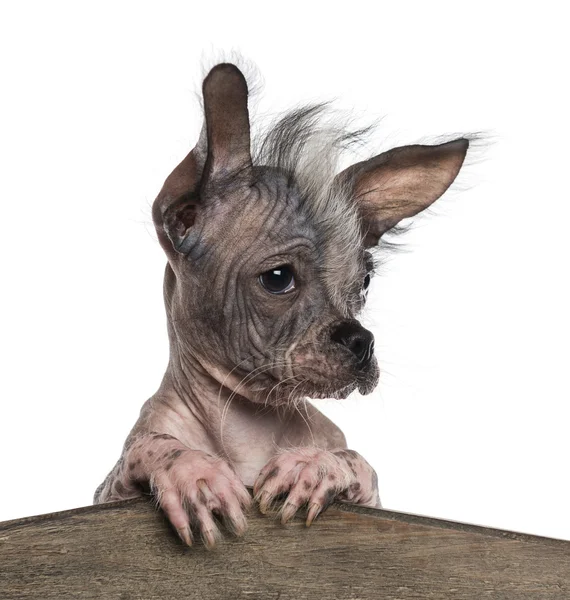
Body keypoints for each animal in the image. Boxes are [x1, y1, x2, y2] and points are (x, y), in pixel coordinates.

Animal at [92, 62, 466, 548]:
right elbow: (151, 446)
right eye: (278, 278)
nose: (361, 341)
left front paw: (314, 465)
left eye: (364, 283)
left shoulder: (380, 506)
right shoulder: (106, 496)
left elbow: (357, 460)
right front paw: (192, 473)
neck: (248, 428)